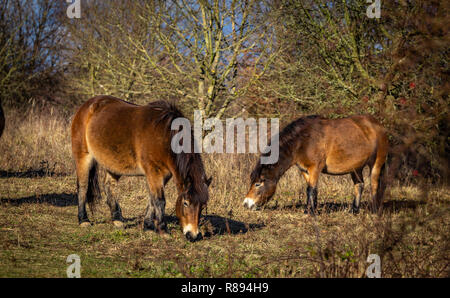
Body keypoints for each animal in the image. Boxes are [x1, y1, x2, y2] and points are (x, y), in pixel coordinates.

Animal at [71, 96, 212, 242]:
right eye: (185, 203)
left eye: (202, 206)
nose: (193, 235)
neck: (165, 136)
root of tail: (88, 106)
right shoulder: (154, 172)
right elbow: (159, 201)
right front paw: (164, 230)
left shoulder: (163, 175)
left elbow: (152, 200)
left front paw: (148, 227)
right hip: (83, 157)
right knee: (83, 186)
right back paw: (83, 220)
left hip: (113, 163)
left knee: (109, 185)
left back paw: (117, 219)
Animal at [244, 114, 388, 214]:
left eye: (258, 184)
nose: (246, 204)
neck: (302, 141)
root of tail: (378, 125)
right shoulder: (305, 170)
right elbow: (311, 189)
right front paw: (310, 209)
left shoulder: (315, 168)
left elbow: (311, 189)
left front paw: (311, 212)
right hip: (356, 167)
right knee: (359, 185)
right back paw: (354, 210)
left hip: (377, 163)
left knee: (374, 185)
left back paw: (374, 210)